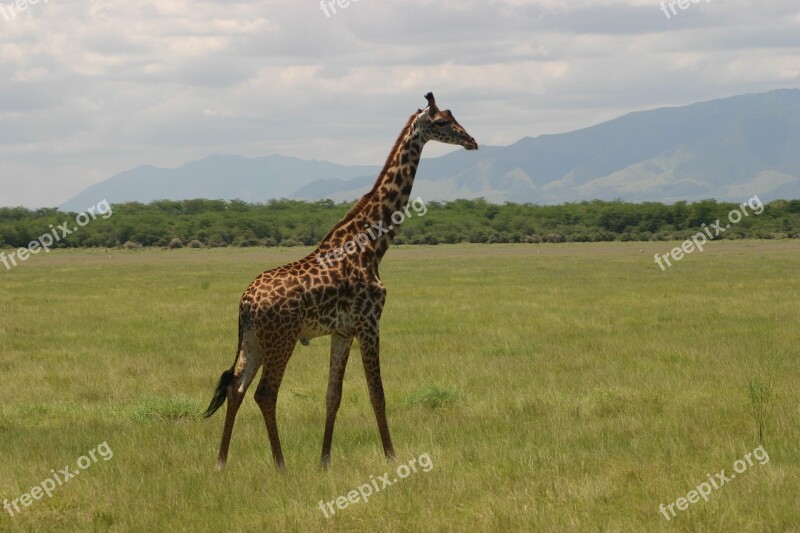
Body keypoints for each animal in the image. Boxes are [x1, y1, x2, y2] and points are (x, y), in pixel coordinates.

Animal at [206, 92, 478, 470]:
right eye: (441, 122)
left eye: (455, 118)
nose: (472, 141)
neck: (372, 245)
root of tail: (245, 302)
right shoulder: (369, 323)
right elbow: (377, 393)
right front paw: (391, 456)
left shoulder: (342, 332)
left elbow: (332, 396)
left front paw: (324, 461)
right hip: (282, 339)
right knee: (265, 393)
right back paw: (280, 465)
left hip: (252, 339)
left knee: (236, 387)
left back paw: (221, 462)